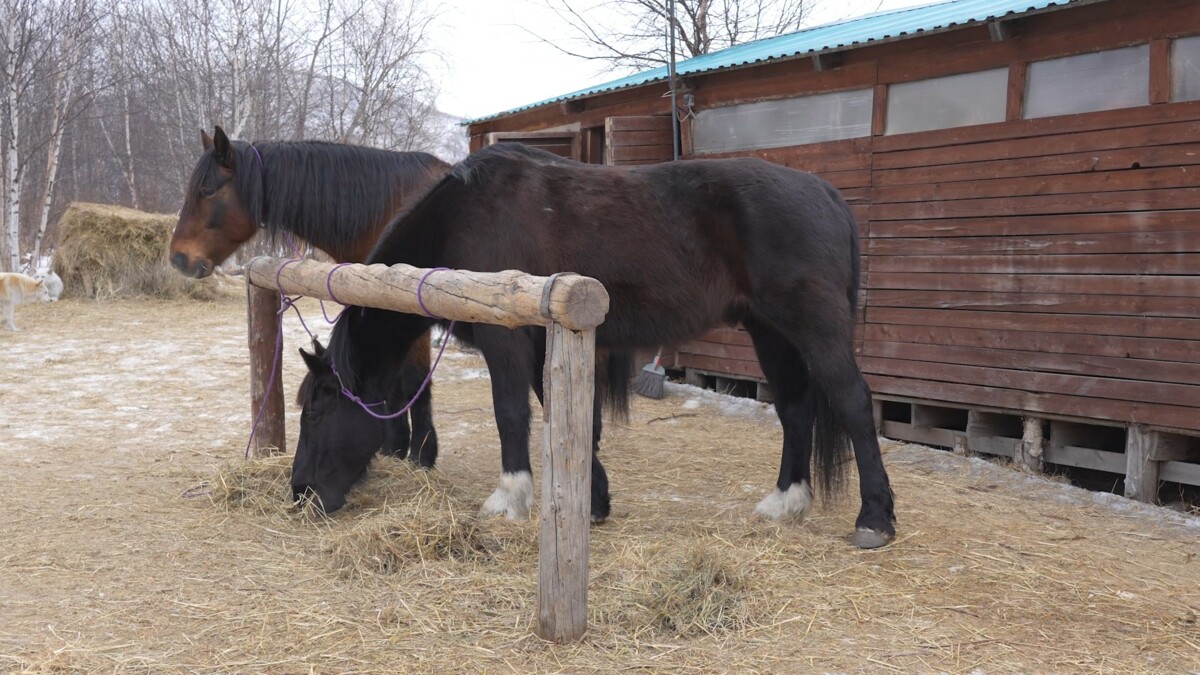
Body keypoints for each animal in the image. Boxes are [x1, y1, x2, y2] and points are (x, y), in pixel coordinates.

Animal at [169, 124, 451, 461]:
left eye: (208, 191)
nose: (178, 258)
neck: (390, 206)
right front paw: (394, 447)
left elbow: (414, 379)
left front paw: (422, 453)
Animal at [290, 140, 897, 547]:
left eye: (317, 411)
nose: (300, 492)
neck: (467, 216)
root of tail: (825, 193)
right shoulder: (547, 338)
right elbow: (565, 416)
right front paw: (595, 500)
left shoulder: (505, 339)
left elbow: (512, 413)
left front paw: (510, 499)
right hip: (769, 331)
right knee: (794, 409)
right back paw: (785, 501)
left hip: (811, 326)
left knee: (852, 403)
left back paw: (874, 518)